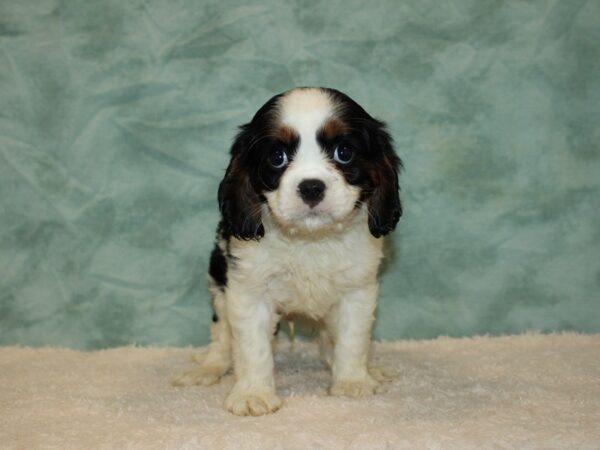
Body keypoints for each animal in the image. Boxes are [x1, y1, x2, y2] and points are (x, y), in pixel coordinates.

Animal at [175, 86, 404, 416]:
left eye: (344, 153)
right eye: (277, 157)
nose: (311, 187)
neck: (310, 238)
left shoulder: (357, 290)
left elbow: (353, 338)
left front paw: (353, 381)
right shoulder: (248, 291)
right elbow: (253, 347)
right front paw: (253, 393)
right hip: (218, 284)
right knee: (221, 338)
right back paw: (207, 369)